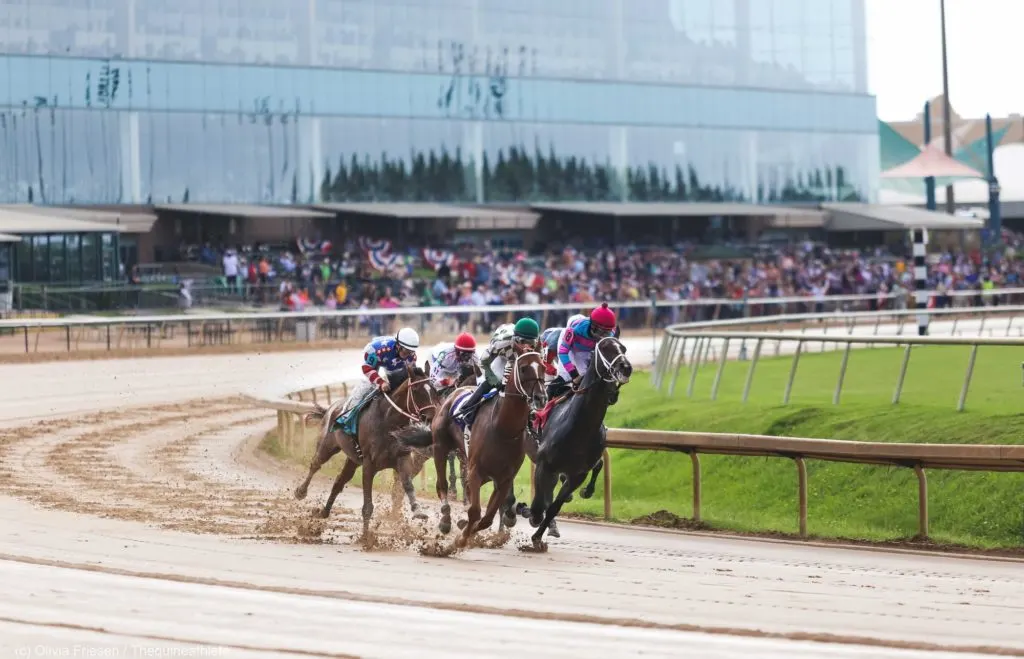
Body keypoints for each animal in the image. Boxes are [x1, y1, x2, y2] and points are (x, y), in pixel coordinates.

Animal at [294, 362, 442, 536]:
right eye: (417, 390)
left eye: (434, 390)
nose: (432, 418)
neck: (388, 422)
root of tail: (332, 406)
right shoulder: (369, 464)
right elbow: (367, 506)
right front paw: (365, 537)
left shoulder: (402, 458)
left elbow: (407, 485)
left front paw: (418, 511)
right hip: (327, 446)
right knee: (315, 464)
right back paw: (301, 492)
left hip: (352, 459)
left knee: (339, 481)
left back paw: (324, 512)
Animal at [421, 345, 544, 540]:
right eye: (524, 368)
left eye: (544, 367)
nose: (541, 397)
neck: (503, 429)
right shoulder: (476, 470)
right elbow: (475, 511)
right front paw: (461, 538)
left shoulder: (504, 479)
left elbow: (487, 518)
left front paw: (469, 531)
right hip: (440, 448)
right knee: (442, 485)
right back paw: (446, 520)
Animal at [528, 337, 630, 548]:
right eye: (605, 348)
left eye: (623, 348)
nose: (626, 367)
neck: (579, 428)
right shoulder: (544, 464)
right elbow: (541, 502)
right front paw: (533, 517)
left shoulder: (578, 474)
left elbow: (553, 507)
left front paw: (538, 537)